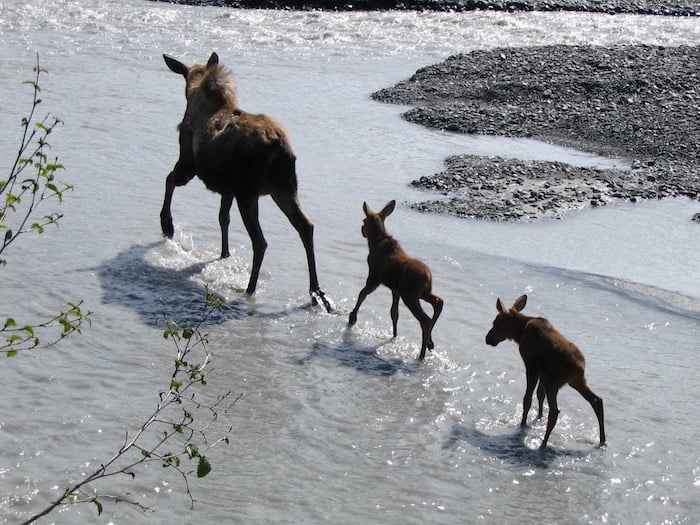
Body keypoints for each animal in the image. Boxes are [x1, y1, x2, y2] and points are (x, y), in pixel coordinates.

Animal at [348, 200, 443, 360]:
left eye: (364, 220)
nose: (362, 229)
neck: (374, 242)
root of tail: (428, 276)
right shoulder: (395, 289)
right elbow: (394, 313)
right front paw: (394, 335)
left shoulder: (374, 277)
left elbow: (362, 294)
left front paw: (352, 317)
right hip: (423, 293)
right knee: (439, 303)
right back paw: (430, 343)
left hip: (410, 295)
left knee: (425, 320)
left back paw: (421, 354)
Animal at [485, 294, 605, 448]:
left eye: (495, 322)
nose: (488, 338)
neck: (519, 332)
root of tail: (579, 368)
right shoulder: (542, 372)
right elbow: (539, 395)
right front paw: (538, 416)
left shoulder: (531, 366)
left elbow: (528, 398)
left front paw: (523, 423)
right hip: (576, 381)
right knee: (597, 400)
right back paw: (602, 440)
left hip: (553, 383)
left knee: (555, 411)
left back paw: (543, 443)